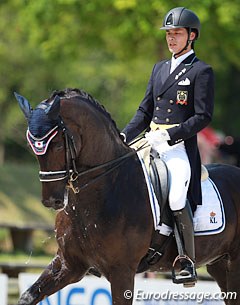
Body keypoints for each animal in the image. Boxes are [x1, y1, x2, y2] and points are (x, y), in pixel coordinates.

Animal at [14, 88, 240, 304]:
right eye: (32, 147)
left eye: (58, 145)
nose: (51, 200)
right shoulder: (68, 265)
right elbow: (28, 296)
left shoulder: (122, 271)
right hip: (219, 265)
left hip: (234, 263)